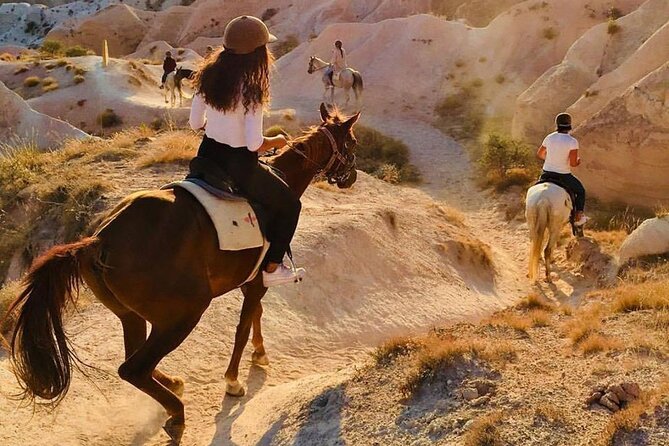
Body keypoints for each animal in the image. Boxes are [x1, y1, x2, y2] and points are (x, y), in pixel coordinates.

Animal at [5, 103, 360, 442]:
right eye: (352, 142)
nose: (352, 176)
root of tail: (99, 239)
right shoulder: (259, 280)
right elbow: (243, 327)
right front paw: (233, 380)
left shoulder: (250, 282)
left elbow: (255, 316)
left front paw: (259, 354)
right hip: (184, 313)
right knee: (133, 368)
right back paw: (176, 412)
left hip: (131, 314)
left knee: (135, 355)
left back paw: (171, 383)